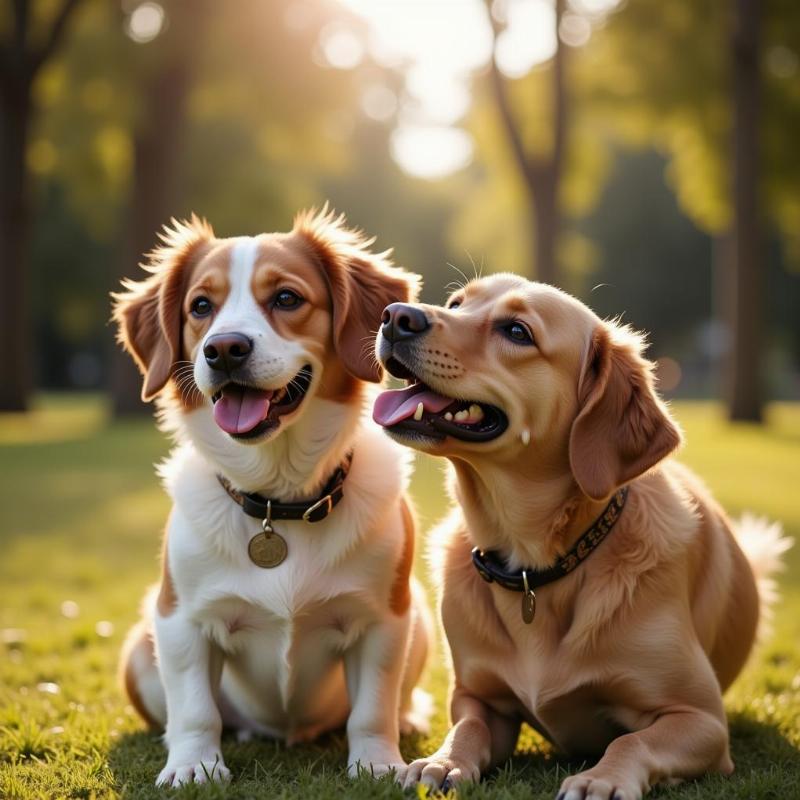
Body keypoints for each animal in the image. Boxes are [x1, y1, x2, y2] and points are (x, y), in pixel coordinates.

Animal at [112, 208, 432, 788]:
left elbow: (372, 708)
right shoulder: (181, 621)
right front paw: (193, 765)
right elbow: (194, 709)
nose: (224, 349)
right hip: (140, 652)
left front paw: (377, 762)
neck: (277, 502)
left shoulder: (385, 621)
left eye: (286, 298)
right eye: (201, 306)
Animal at [374, 276, 788, 800]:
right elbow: (467, 728)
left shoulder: (701, 719)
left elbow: (632, 741)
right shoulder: (477, 697)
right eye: (456, 302)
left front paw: (601, 779)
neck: (534, 567)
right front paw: (442, 761)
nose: (395, 315)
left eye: (517, 331)